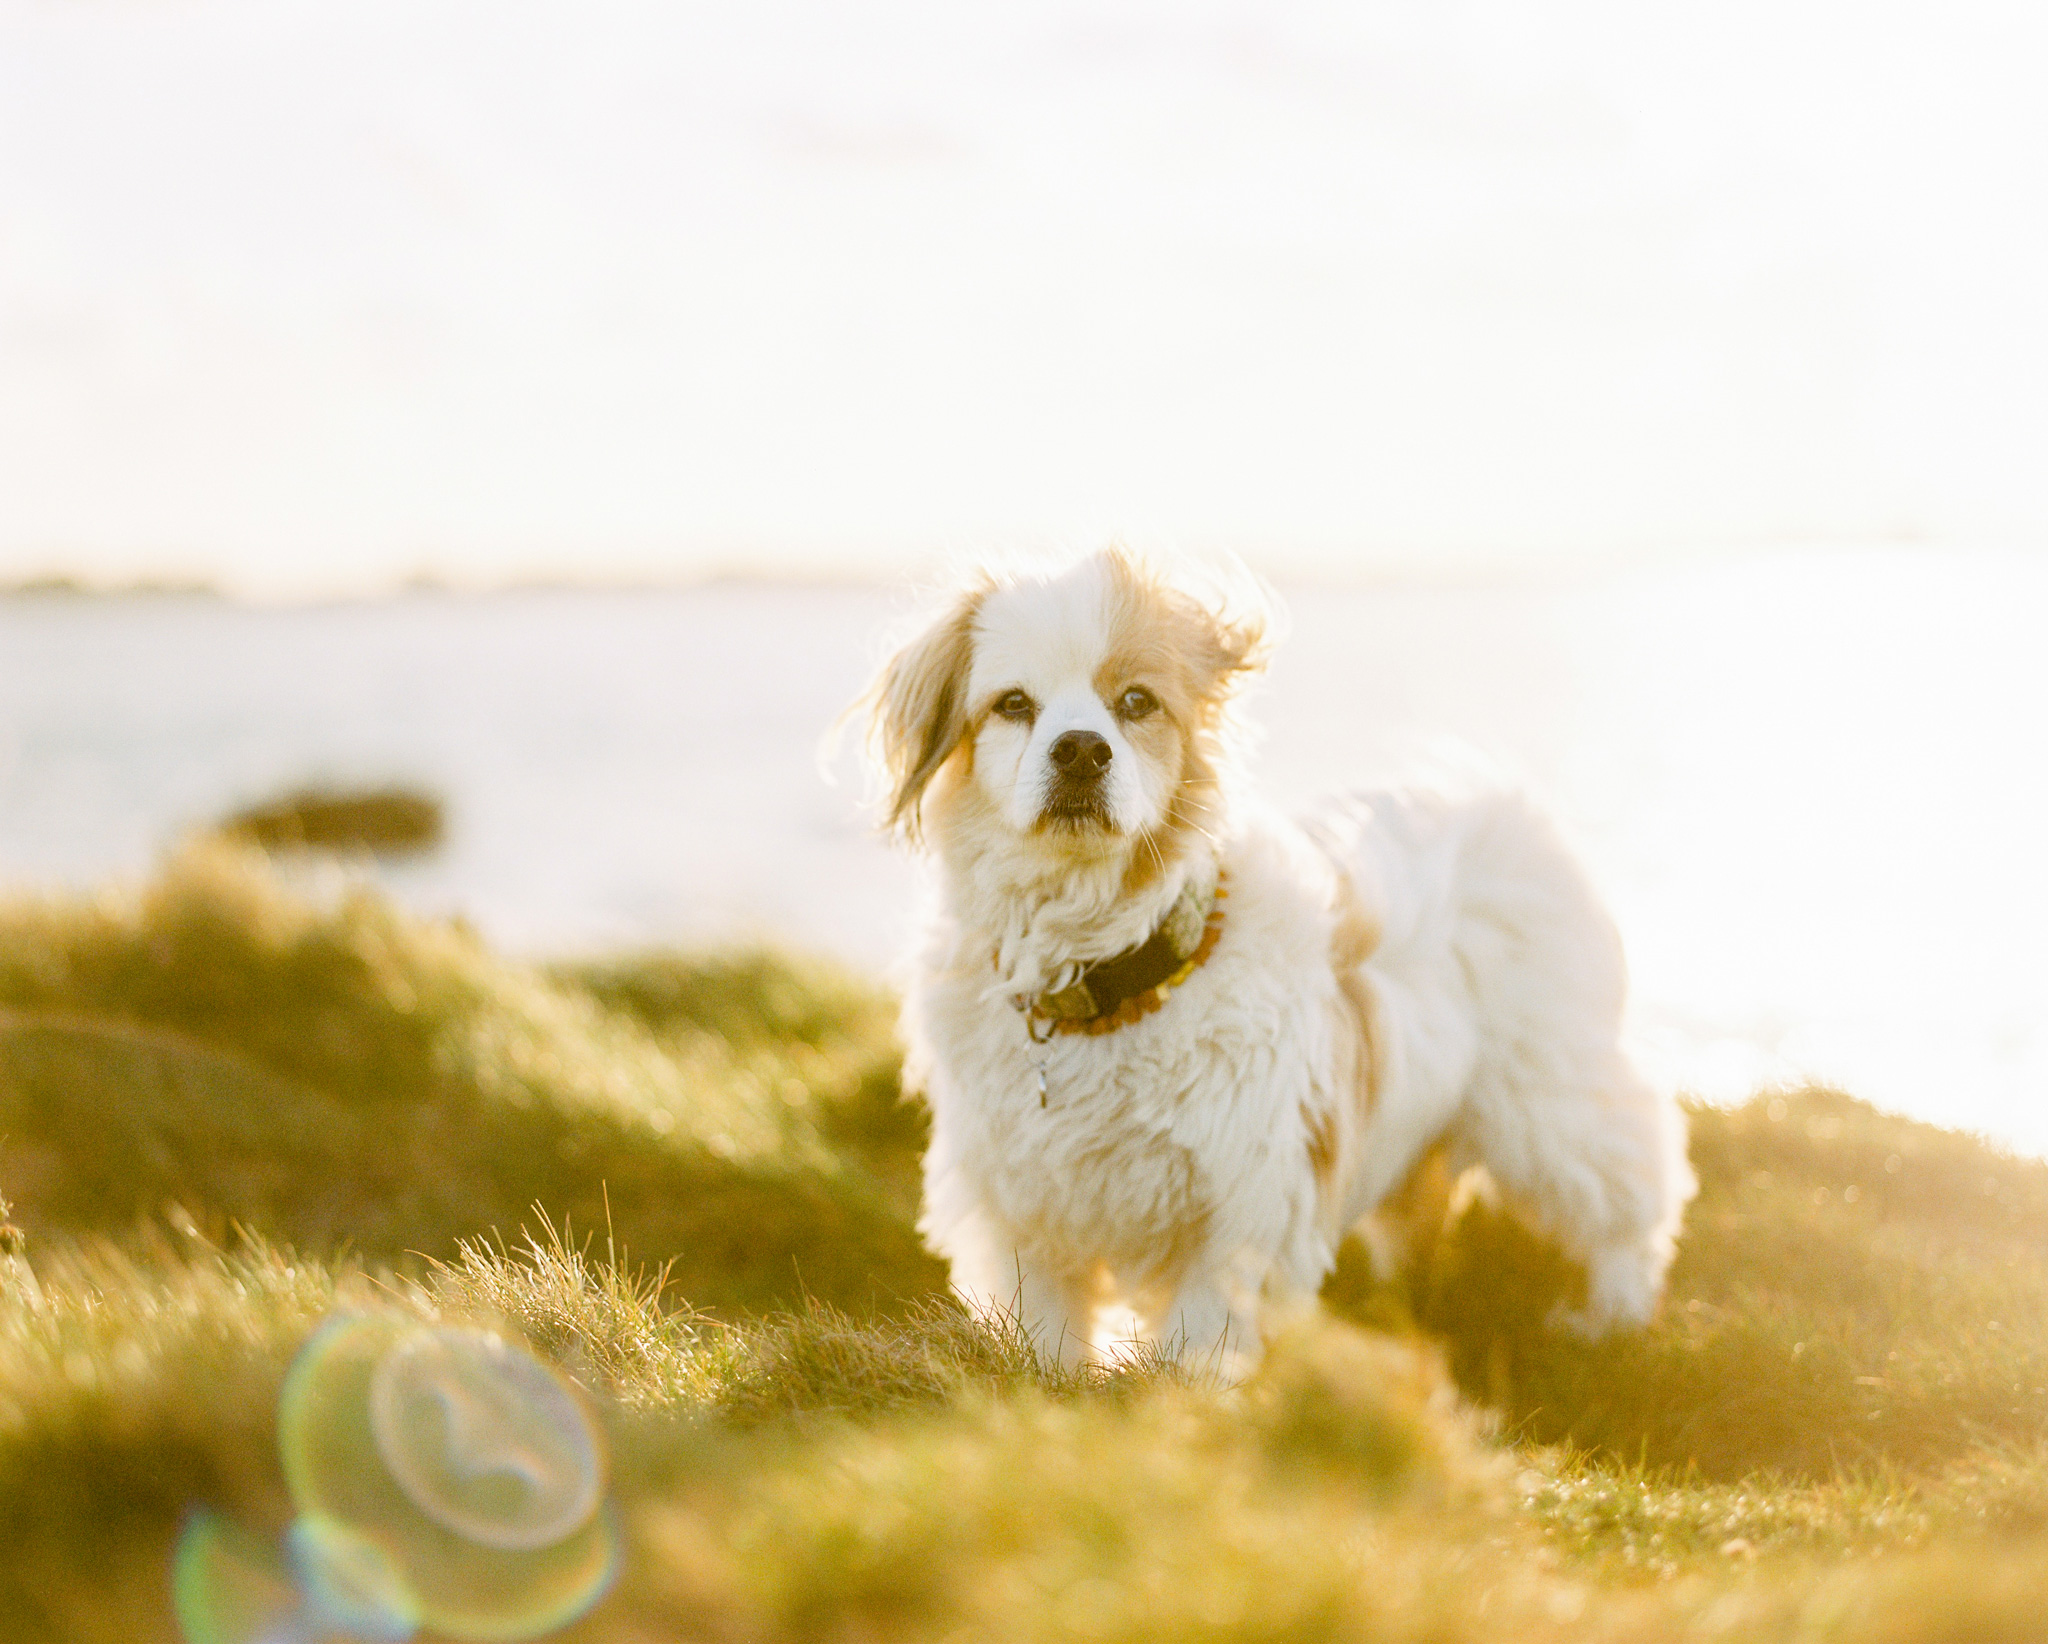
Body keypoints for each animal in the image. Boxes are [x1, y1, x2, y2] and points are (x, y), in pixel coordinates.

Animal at [856, 548, 1687, 1375]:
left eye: (1136, 702)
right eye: (1013, 705)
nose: (1082, 749)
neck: (1109, 981)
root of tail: (1501, 806)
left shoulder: (1244, 1208)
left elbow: (1201, 1338)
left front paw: (1190, 1394)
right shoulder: (1022, 1204)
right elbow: (1047, 1334)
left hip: (1554, 1105)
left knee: (1634, 1194)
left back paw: (1611, 1317)